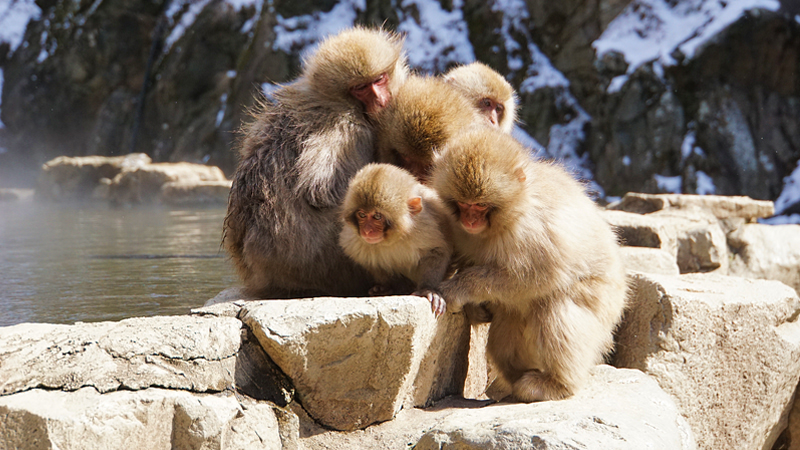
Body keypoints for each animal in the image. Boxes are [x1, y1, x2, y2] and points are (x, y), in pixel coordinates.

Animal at [223, 27, 409, 299]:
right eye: (361, 88)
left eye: (379, 79)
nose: (380, 99)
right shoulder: (347, 130)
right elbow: (320, 191)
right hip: (328, 266)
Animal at [339, 163, 452, 317]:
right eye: (362, 215)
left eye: (377, 216)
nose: (367, 231)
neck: (394, 238)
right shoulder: (353, 240)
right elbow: (370, 261)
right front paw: (389, 287)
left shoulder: (425, 227)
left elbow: (437, 251)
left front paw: (427, 289)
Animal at [431, 128, 628, 402]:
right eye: (463, 204)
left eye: (480, 205)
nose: (470, 220)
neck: (514, 210)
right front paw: (475, 309)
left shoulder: (532, 231)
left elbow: (536, 276)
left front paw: (459, 289)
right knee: (508, 326)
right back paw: (515, 376)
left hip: (603, 296)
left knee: (555, 306)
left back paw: (557, 384)